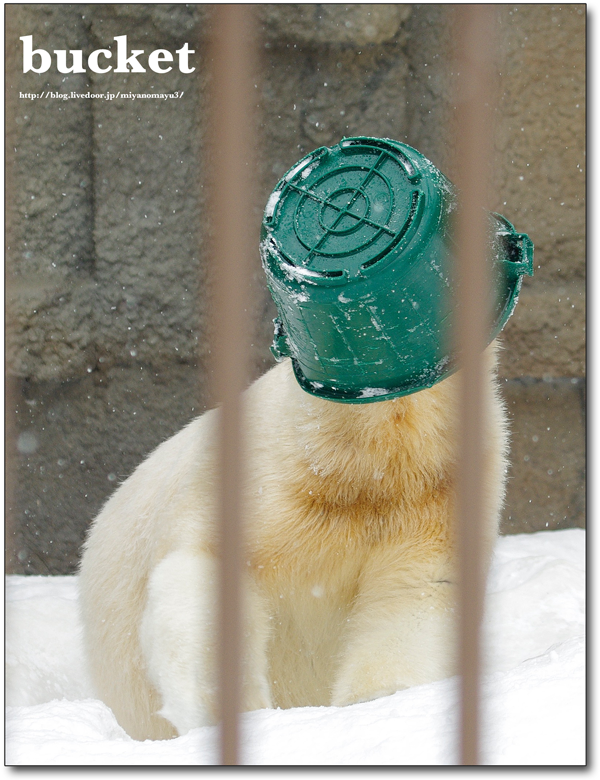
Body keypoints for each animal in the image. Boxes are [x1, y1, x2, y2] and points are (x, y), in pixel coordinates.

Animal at [78, 346, 506, 736]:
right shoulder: (257, 481)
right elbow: (207, 572)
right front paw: (230, 709)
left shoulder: (436, 494)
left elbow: (415, 593)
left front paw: (376, 701)